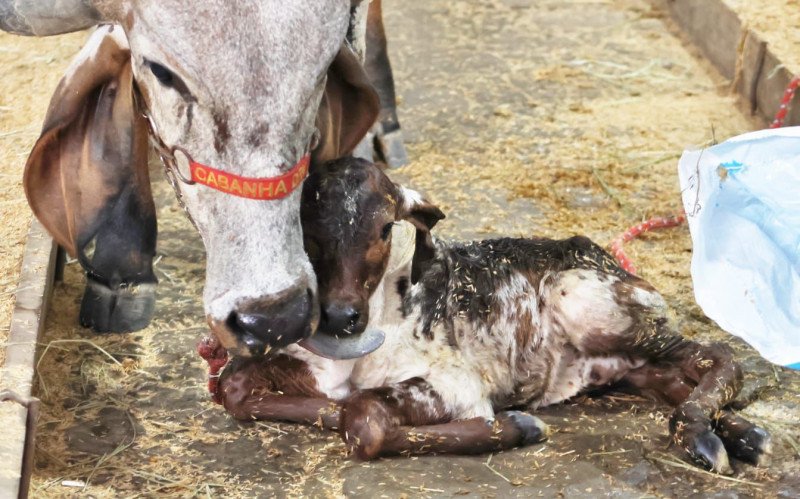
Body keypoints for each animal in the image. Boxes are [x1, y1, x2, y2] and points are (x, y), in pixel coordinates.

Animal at [203, 157, 772, 475]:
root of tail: (603, 255)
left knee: (716, 356)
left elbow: (364, 419)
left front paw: (517, 426)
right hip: (619, 363)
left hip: (590, 301)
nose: (342, 316)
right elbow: (235, 390)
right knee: (672, 377)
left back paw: (703, 436)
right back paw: (743, 434)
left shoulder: (457, 383)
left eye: (385, 228)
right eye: (308, 231)